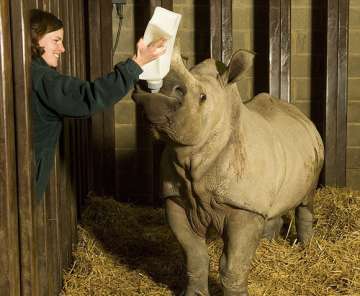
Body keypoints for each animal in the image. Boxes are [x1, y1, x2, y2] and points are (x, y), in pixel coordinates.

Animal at [134, 45, 324, 294]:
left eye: (202, 97)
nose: (153, 92)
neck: (193, 156)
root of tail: (301, 115)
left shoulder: (243, 207)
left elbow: (233, 265)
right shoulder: (176, 199)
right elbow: (195, 257)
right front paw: (194, 293)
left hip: (315, 152)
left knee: (306, 199)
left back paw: (304, 248)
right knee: (272, 205)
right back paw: (268, 242)